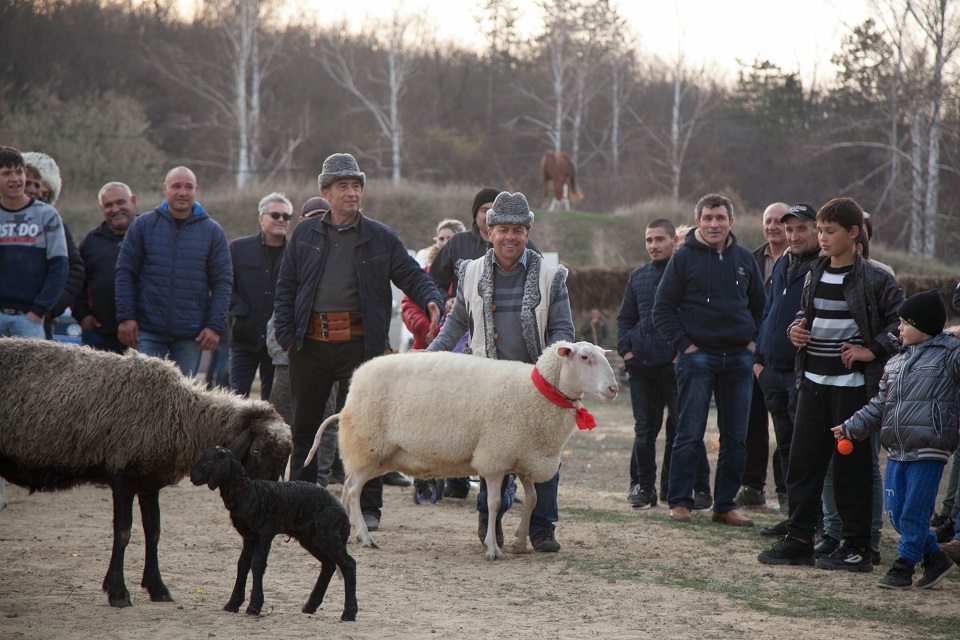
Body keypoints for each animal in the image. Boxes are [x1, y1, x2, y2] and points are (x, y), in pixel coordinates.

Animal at [0, 338, 292, 608]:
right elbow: (123, 533)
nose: (267, 503)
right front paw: (118, 592)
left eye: (283, 461)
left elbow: (154, 532)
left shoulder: (149, 483)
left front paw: (157, 588)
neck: (184, 415)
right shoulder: (122, 476)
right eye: (256, 450)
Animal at [189, 444, 358, 620]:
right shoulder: (248, 537)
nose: (192, 476)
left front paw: (254, 607)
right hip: (311, 539)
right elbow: (242, 564)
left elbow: (257, 564)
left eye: (208, 463)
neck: (248, 493)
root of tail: (342, 512)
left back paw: (349, 612)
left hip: (327, 536)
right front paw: (232, 604)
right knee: (329, 564)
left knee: (348, 564)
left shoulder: (265, 534)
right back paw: (310, 606)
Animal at [304, 340, 616, 560]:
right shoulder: (494, 457)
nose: (613, 388)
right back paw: (367, 538)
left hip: (378, 454)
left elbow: (533, 500)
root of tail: (354, 382)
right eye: (585, 358)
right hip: (368, 443)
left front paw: (519, 541)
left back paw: (350, 534)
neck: (535, 394)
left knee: (348, 486)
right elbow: (493, 503)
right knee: (353, 489)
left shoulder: (524, 458)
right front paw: (492, 548)